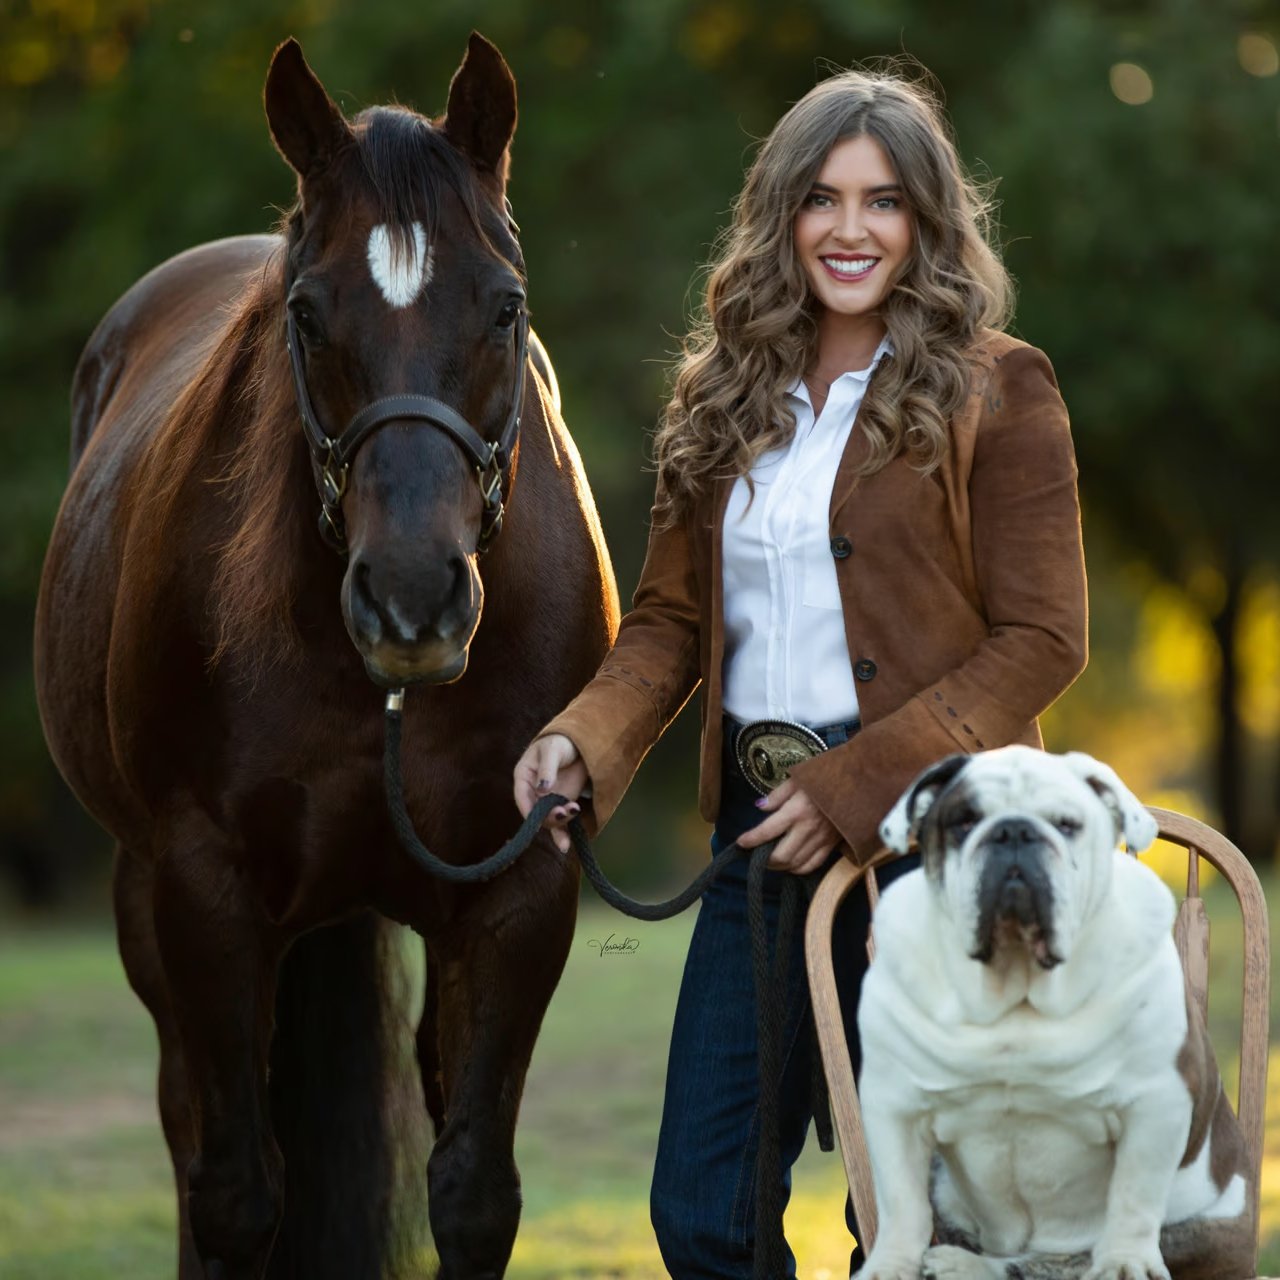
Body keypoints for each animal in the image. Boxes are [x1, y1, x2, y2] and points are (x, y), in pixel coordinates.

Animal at [37, 32, 616, 1280]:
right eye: (306, 316)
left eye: (505, 307)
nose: (410, 601)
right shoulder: (201, 891)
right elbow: (235, 1194)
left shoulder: (518, 891)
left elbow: (471, 1192)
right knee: (192, 1138)